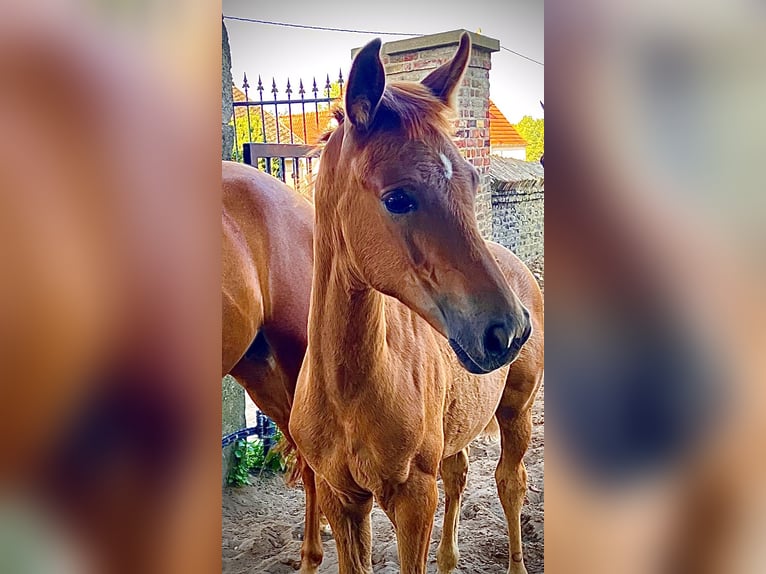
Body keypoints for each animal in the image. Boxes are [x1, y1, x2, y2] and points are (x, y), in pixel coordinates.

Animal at [290, 33, 544, 574]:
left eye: (473, 181)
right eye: (397, 198)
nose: (508, 330)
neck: (348, 394)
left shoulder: (413, 499)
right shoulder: (341, 499)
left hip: (517, 411)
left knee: (510, 483)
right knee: (460, 472)